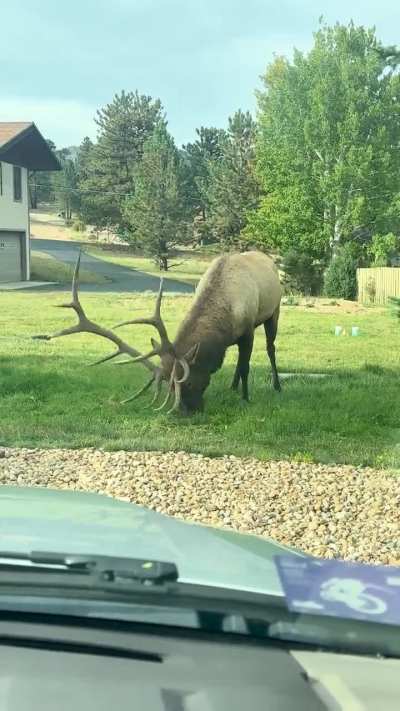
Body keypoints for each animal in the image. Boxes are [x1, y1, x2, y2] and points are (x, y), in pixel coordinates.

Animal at [35, 250, 282, 414]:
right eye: (169, 386)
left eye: (187, 383)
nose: (185, 412)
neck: (225, 315)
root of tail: (268, 258)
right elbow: (237, 364)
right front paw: (235, 390)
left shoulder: (247, 329)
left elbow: (246, 367)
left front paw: (246, 399)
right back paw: (233, 386)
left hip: (274, 311)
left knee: (270, 348)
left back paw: (277, 386)